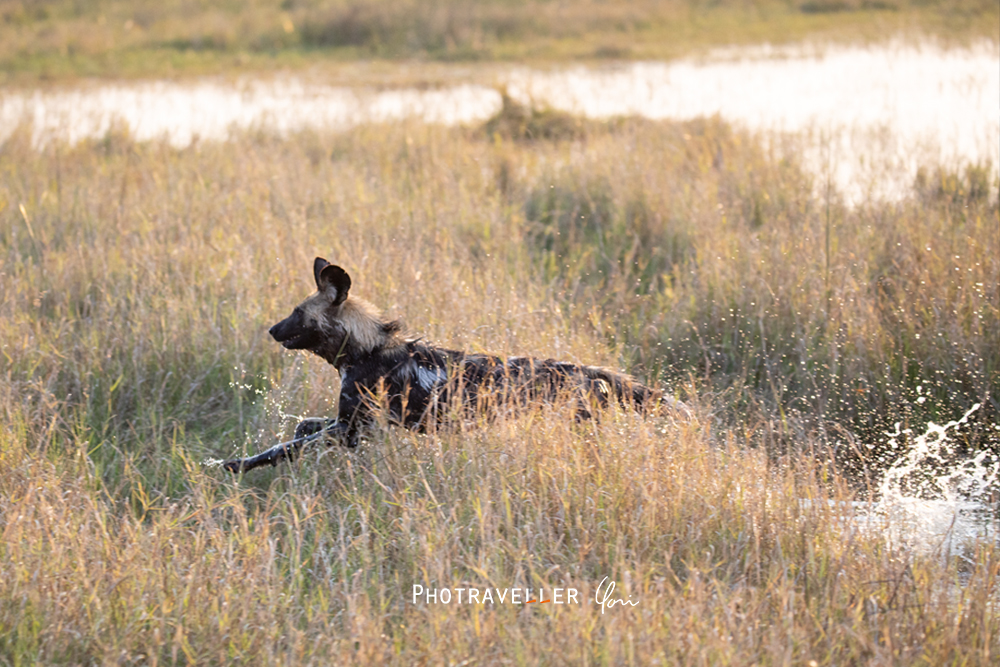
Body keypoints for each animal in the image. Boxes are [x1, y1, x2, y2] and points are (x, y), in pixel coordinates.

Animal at [223, 258, 688, 472]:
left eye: (297, 313)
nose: (272, 329)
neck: (366, 348)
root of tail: (591, 373)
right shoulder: (349, 426)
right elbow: (302, 428)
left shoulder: (352, 431)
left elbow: (281, 448)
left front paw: (235, 465)